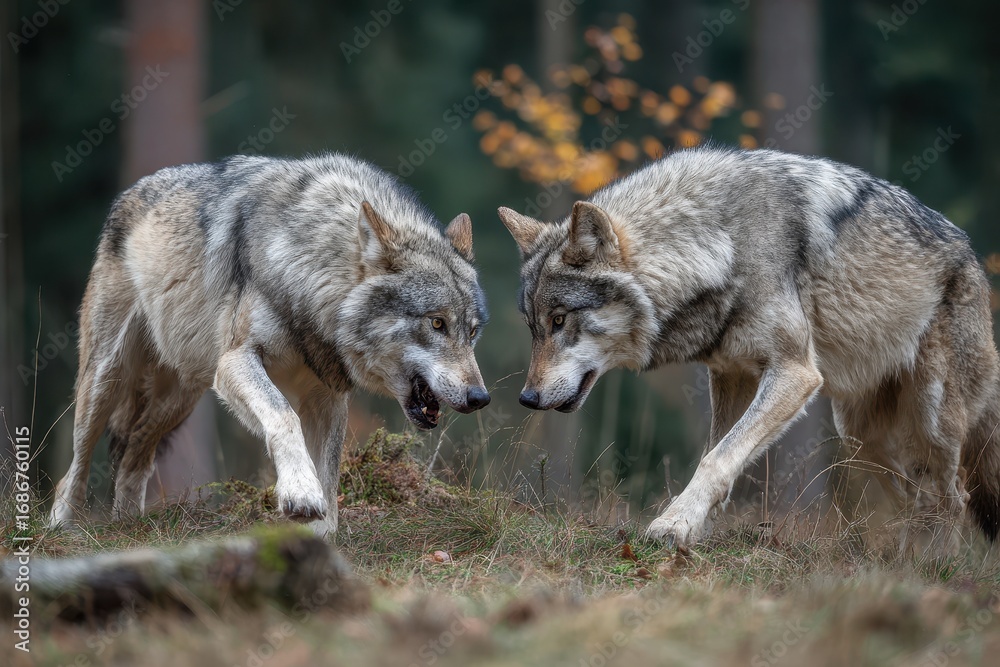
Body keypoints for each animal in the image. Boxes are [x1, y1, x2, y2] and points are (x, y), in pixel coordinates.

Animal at [49, 153, 491, 536]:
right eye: (437, 323)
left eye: (471, 332)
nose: (480, 397)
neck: (311, 276)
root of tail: (130, 191)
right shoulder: (236, 362)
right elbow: (282, 416)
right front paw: (300, 494)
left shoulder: (327, 396)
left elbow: (329, 474)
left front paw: (319, 533)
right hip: (107, 379)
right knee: (74, 467)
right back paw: (61, 526)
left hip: (182, 397)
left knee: (134, 456)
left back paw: (129, 526)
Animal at [499, 145, 1000, 554]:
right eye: (533, 327)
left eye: (559, 320)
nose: (527, 398)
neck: (722, 244)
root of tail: (974, 259)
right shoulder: (731, 374)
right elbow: (718, 452)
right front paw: (694, 526)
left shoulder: (796, 373)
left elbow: (717, 458)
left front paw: (674, 525)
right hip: (860, 436)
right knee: (919, 497)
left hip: (929, 421)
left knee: (955, 496)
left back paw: (937, 567)